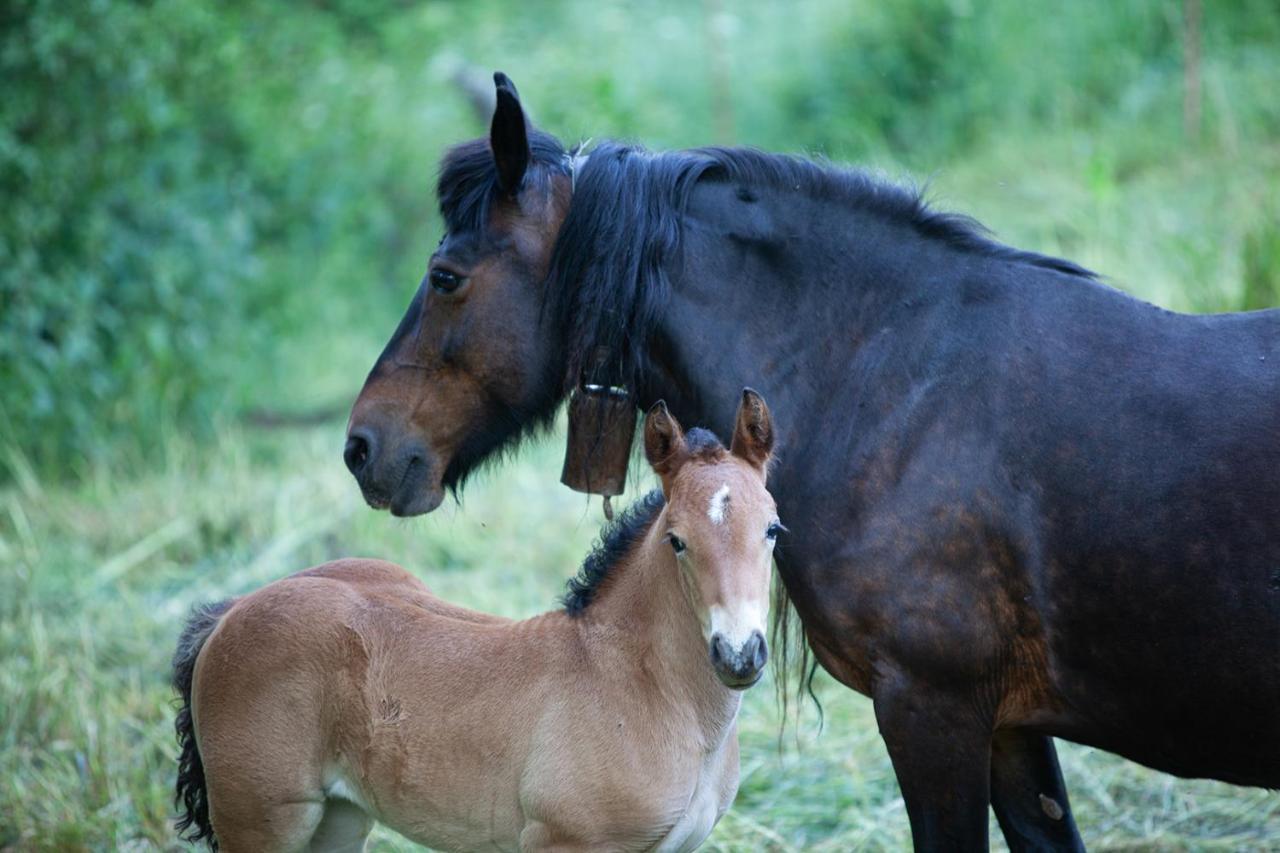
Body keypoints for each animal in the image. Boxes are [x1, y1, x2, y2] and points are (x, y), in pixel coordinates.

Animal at [175, 389, 783, 845]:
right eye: (677, 540)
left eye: (773, 529)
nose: (738, 654)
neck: (641, 684)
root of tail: (233, 610)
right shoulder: (563, 840)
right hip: (262, 818)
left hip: (338, 818)